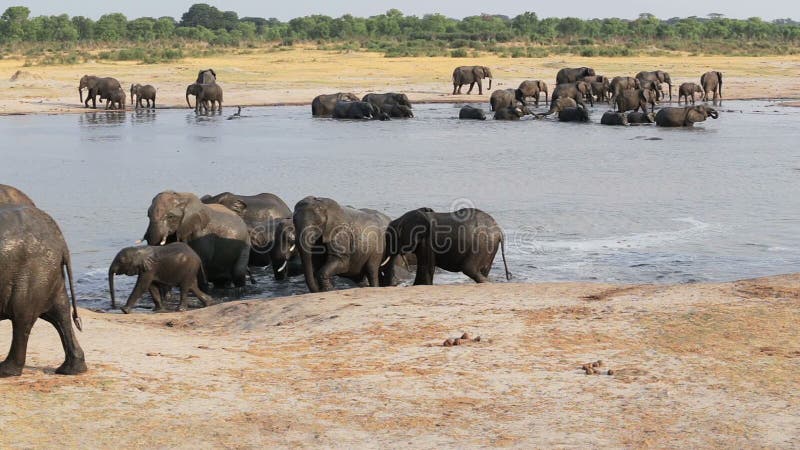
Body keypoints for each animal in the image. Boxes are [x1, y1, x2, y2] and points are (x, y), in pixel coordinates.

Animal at [0, 199, 86, 378]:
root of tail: (61, 240)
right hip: (49, 273)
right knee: (60, 313)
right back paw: (70, 370)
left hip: (33, 271)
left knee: (22, 317)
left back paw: (5, 371)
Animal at [382, 207, 510, 284]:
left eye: (395, 236)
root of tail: (499, 231)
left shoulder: (427, 241)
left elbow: (426, 266)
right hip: (488, 247)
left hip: (480, 244)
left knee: (469, 269)